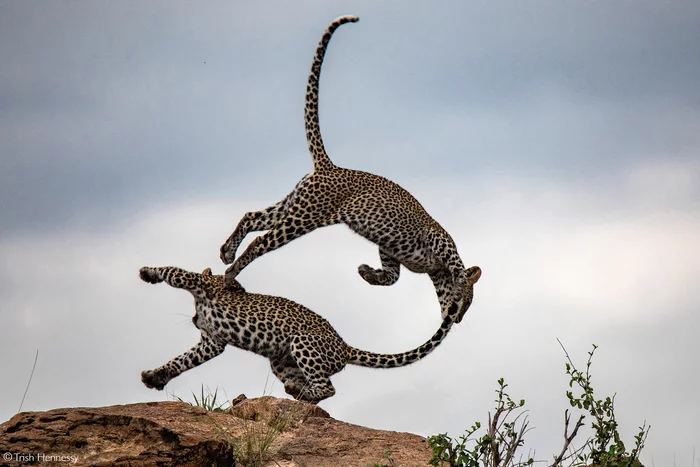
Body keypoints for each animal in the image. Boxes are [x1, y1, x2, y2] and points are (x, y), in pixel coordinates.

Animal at [142, 266, 482, 404]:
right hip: (282, 361)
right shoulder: (212, 342)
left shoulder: (199, 285)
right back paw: (297, 394)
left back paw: (303, 394)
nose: (193, 320)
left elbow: (173, 270)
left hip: (302, 342)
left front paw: (147, 273)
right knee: (311, 387)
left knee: (327, 388)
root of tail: (344, 346)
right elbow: (181, 361)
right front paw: (155, 377)